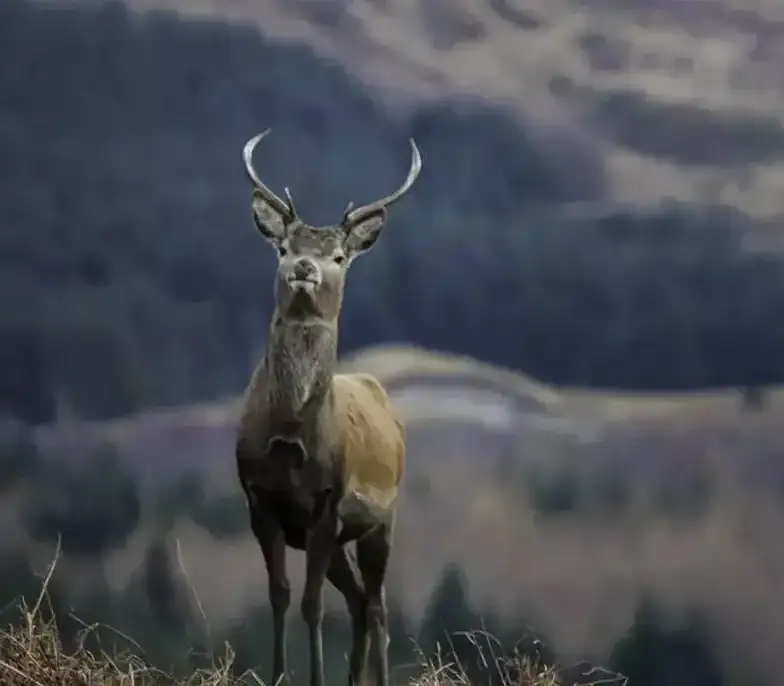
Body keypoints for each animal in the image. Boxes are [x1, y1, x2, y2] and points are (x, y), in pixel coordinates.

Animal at [235, 129, 422, 686]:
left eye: (338, 256)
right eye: (283, 245)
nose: (304, 267)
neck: (291, 433)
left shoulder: (326, 501)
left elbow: (312, 605)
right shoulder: (259, 501)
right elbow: (279, 597)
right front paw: (278, 674)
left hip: (381, 519)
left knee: (377, 604)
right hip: (341, 538)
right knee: (359, 601)